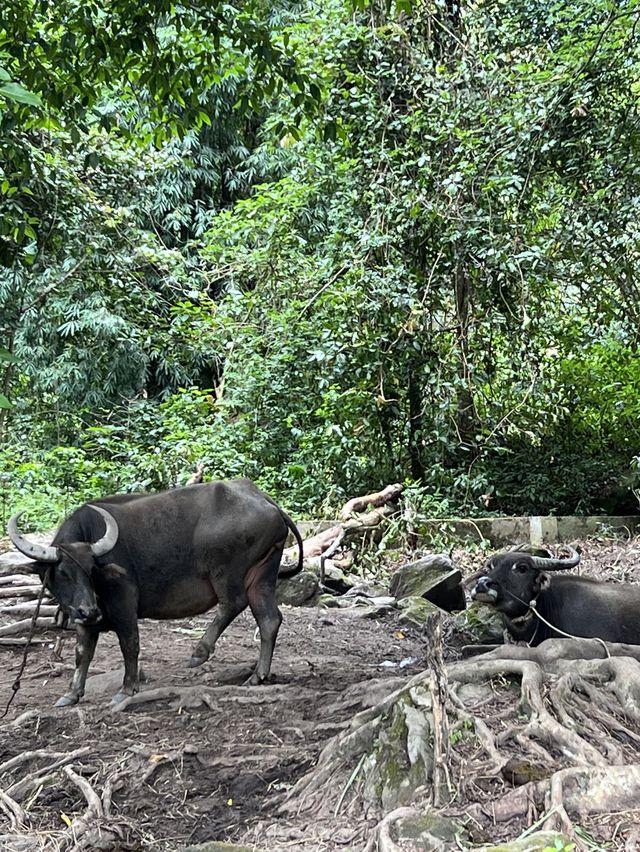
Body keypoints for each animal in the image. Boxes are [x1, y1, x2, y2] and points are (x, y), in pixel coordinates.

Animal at [6, 480, 302, 704]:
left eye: (91, 570)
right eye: (62, 573)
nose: (89, 610)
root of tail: (266, 500)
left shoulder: (124, 603)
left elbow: (130, 643)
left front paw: (127, 689)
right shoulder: (83, 617)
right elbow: (82, 652)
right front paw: (72, 694)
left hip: (227, 573)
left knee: (232, 603)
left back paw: (199, 652)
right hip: (263, 574)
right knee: (269, 619)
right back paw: (257, 676)